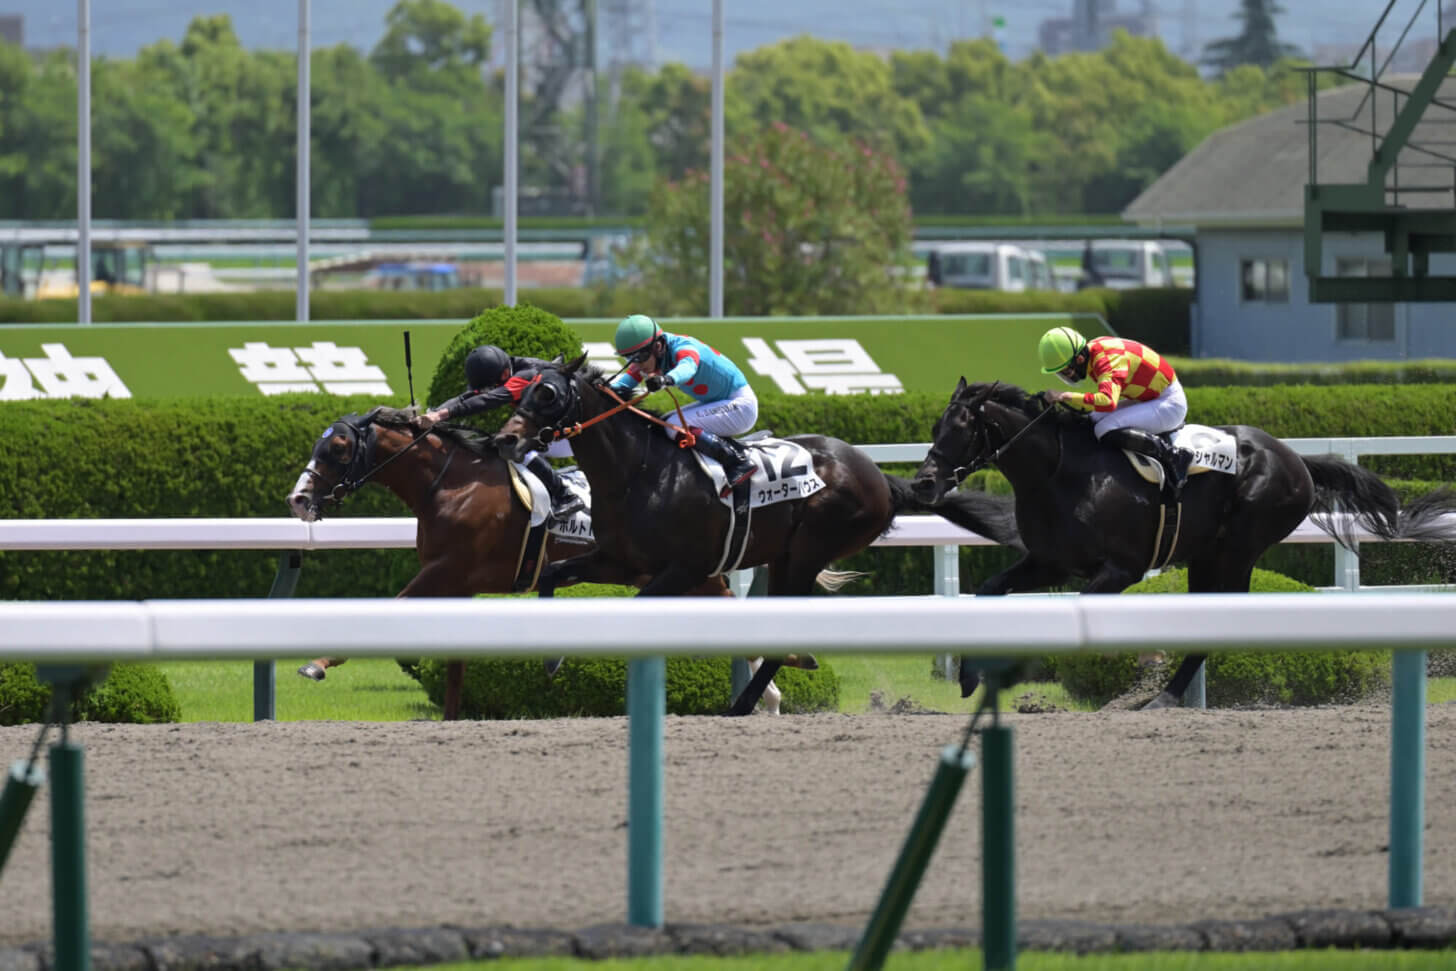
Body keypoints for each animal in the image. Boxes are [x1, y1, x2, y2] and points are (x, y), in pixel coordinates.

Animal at [281, 407, 809, 719]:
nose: (298, 499)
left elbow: (393, 606)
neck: (450, 484)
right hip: (679, 573)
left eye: (337, 448)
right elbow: (453, 665)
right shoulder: (456, 582)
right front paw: (451, 717)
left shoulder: (445, 570)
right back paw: (777, 685)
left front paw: (318, 663)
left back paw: (776, 685)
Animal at [492, 353, 1025, 710]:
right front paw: (550, 659)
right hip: (784, 555)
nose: (505, 439)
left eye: (549, 394)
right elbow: (551, 575)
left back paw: (747, 700)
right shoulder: (619, 559)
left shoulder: (685, 568)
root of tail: (880, 477)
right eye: (521, 389)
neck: (639, 470)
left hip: (811, 548)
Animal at [914, 384, 1456, 710]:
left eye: (960, 429)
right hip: (1206, 555)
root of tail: (1296, 459)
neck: (1058, 472)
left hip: (1238, 547)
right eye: (934, 428)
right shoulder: (1050, 562)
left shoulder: (1121, 569)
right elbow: (989, 589)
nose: (923, 483)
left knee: (1217, 622)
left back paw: (1163, 697)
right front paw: (970, 676)